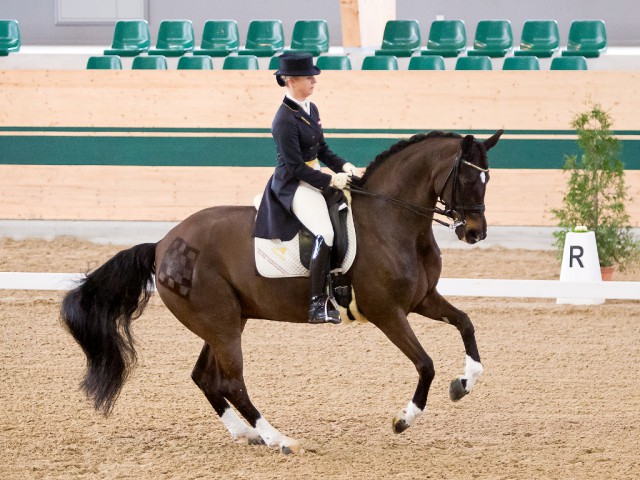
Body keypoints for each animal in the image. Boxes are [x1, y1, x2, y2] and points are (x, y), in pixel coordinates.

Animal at [62, 128, 504, 454]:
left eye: (488, 177)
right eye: (468, 178)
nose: (475, 233)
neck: (392, 219)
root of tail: (161, 244)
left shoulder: (422, 300)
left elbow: (466, 324)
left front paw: (463, 383)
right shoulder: (387, 313)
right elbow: (425, 364)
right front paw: (403, 420)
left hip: (225, 321)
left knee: (205, 377)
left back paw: (248, 435)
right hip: (221, 323)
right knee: (231, 383)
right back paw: (279, 438)